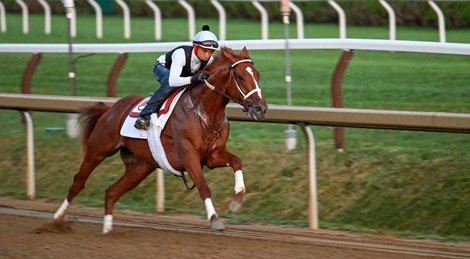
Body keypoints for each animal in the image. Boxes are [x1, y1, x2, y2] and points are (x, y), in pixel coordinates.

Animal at [52, 46, 268, 234]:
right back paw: (57, 219)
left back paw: (107, 230)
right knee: (79, 182)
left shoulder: (212, 156)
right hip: (98, 151)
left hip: (140, 167)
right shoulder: (189, 156)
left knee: (111, 192)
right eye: (240, 76)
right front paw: (215, 219)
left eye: (257, 75)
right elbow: (203, 186)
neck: (204, 112)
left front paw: (237, 200)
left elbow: (237, 161)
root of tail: (110, 108)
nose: (261, 108)